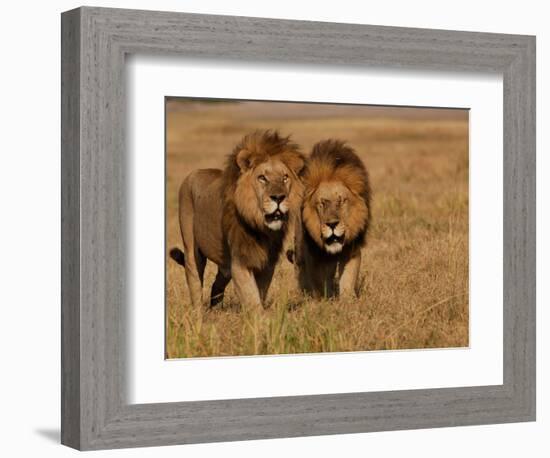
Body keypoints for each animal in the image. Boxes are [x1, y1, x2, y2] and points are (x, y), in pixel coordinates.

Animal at [169, 129, 306, 310]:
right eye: (262, 177)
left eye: (285, 177)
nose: (279, 197)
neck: (261, 228)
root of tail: (194, 173)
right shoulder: (240, 262)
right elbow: (252, 299)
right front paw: (258, 317)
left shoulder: (267, 263)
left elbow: (260, 294)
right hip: (192, 250)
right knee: (195, 283)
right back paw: (199, 313)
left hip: (224, 264)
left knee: (216, 285)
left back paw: (216, 310)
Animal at [296, 140, 374, 296]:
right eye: (322, 203)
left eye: (341, 201)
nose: (332, 225)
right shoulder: (314, 252)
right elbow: (318, 281)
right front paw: (322, 298)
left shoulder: (352, 249)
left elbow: (348, 278)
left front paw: (348, 299)